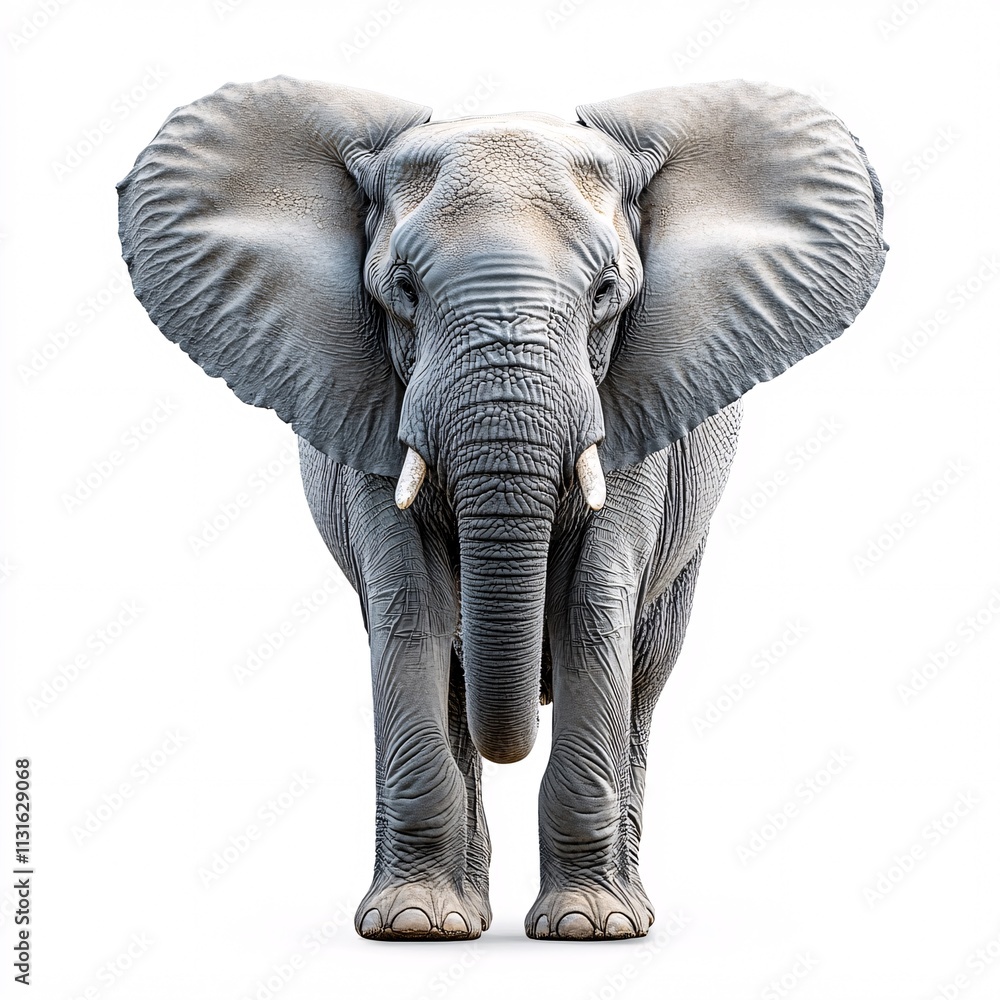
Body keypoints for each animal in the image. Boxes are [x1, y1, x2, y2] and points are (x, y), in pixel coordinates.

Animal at [117, 76, 885, 941]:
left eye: (606, 294)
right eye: (404, 291)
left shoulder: (635, 412)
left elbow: (592, 609)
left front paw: (587, 927)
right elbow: (412, 608)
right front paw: (412, 926)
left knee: (646, 670)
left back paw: (628, 909)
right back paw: (457, 912)